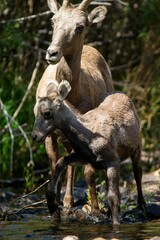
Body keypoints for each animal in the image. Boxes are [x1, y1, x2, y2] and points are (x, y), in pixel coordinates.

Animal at [31, 80, 146, 225]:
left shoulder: (113, 161)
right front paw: (51, 204)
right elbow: (61, 161)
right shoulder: (83, 157)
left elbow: (113, 196)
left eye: (47, 113)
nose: (35, 136)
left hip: (137, 147)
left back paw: (142, 206)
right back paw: (109, 213)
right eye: (34, 112)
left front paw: (116, 223)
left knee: (138, 173)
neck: (88, 138)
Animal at [37, 0, 114, 216]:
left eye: (80, 26)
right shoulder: (49, 135)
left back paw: (72, 202)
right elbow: (54, 165)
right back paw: (67, 201)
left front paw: (96, 209)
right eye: (53, 21)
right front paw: (54, 204)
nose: (52, 52)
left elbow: (88, 170)